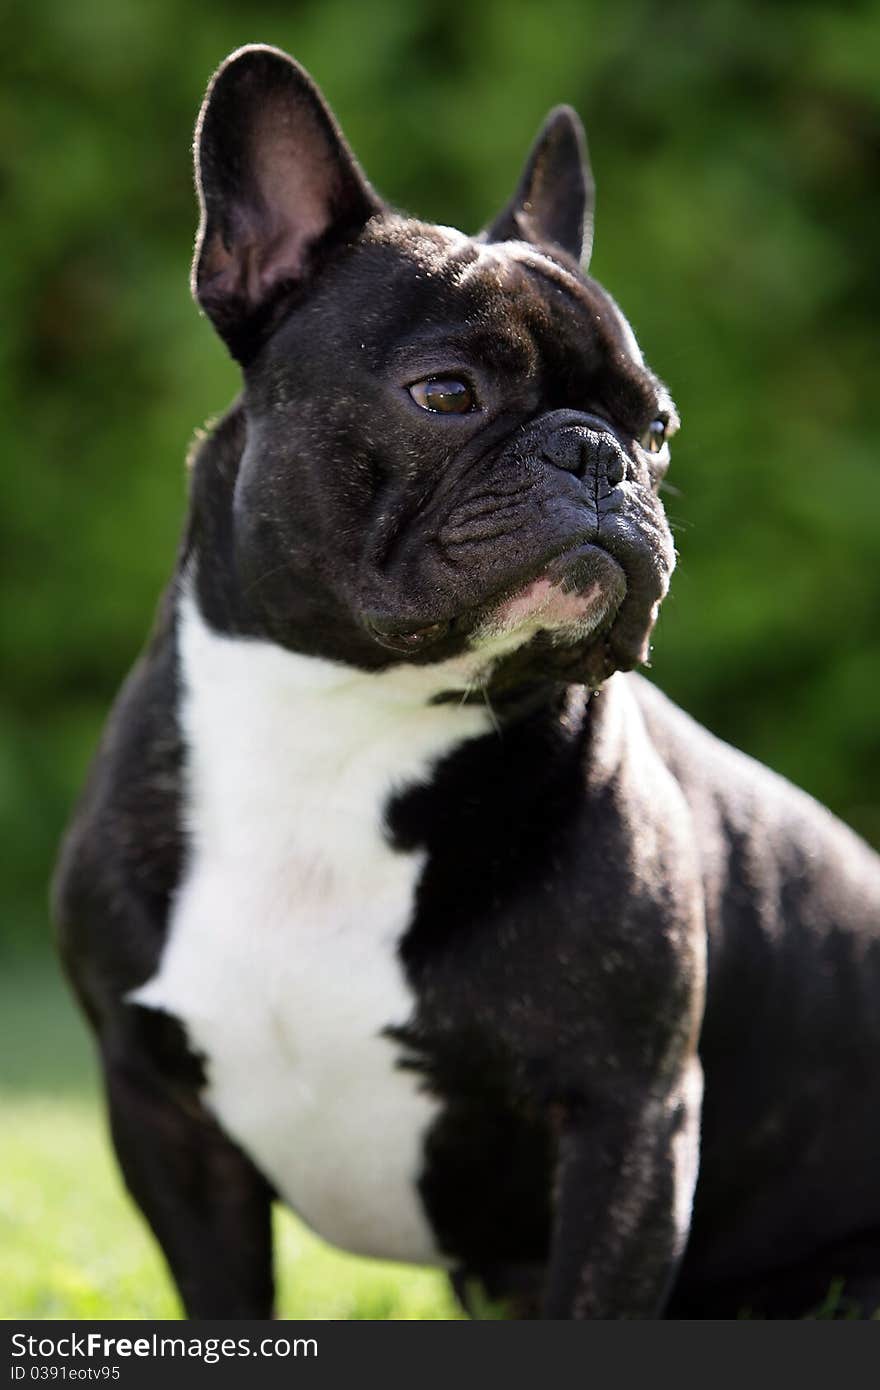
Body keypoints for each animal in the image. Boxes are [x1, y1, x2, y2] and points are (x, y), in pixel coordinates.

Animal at [54, 46, 878, 1323]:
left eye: (658, 427)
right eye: (446, 393)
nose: (598, 454)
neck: (349, 727)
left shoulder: (624, 1118)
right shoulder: (163, 1120)